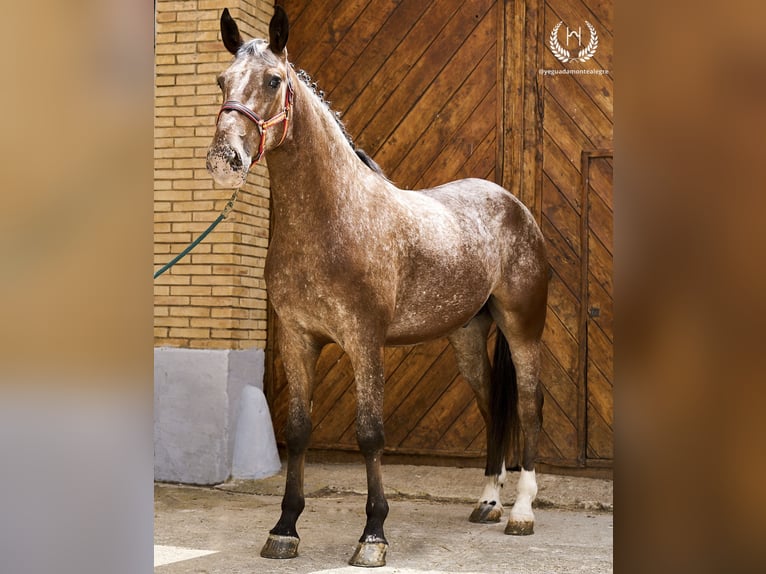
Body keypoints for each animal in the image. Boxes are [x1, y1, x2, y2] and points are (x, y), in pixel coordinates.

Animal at [207, 6, 548, 568]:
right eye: (221, 80)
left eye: (274, 80)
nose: (224, 158)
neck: (333, 216)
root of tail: (514, 205)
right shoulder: (299, 340)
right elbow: (297, 432)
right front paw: (285, 528)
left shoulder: (365, 341)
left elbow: (370, 434)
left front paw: (373, 535)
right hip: (467, 336)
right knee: (490, 405)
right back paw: (488, 503)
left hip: (523, 327)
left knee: (527, 402)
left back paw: (521, 512)